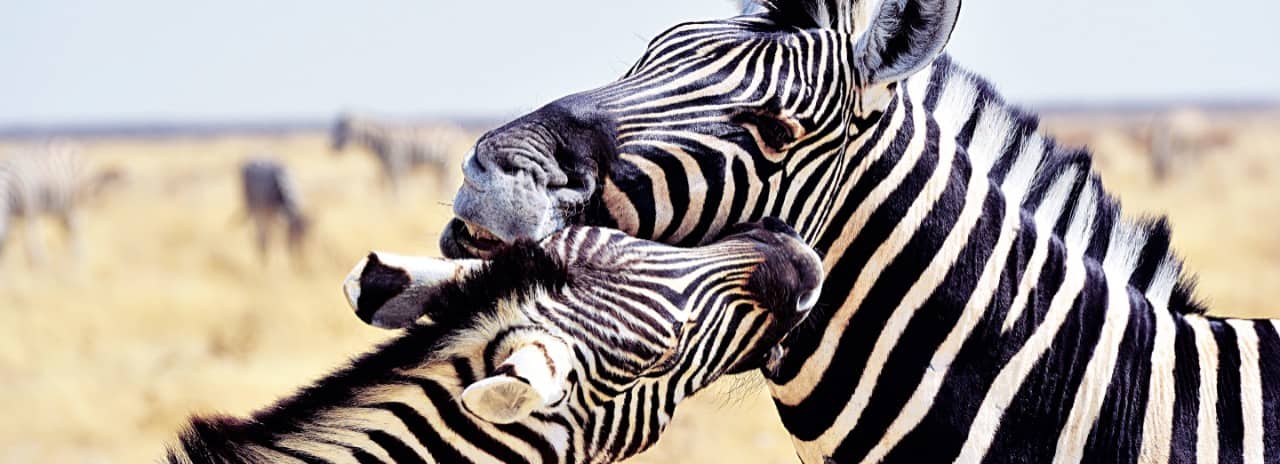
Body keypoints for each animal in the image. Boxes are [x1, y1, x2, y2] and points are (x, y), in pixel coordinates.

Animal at [331, 113, 467, 196]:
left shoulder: (397, 165)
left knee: (448, 184)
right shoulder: (385, 169)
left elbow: (397, 192)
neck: (379, 144)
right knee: (442, 185)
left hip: (447, 164)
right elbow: (386, 191)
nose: (332, 147)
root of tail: (455, 128)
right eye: (335, 128)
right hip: (438, 168)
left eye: (344, 129)